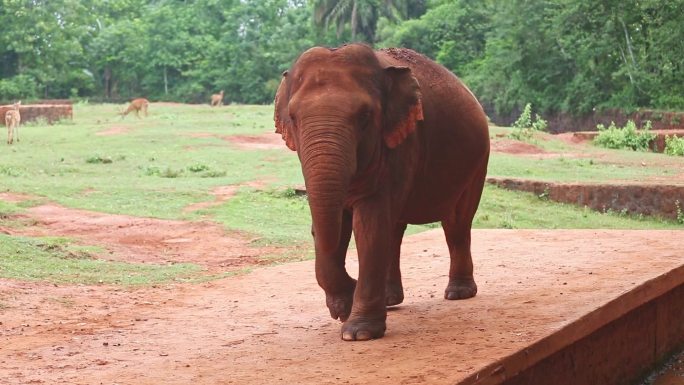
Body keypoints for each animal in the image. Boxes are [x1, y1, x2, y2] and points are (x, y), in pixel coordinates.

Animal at [274, 43, 492, 340]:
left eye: (365, 117)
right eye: (294, 118)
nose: (350, 285)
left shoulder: (403, 142)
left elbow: (369, 224)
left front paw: (358, 333)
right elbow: (339, 224)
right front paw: (344, 307)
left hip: (477, 162)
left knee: (456, 223)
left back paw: (458, 294)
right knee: (395, 229)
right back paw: (390, 301)